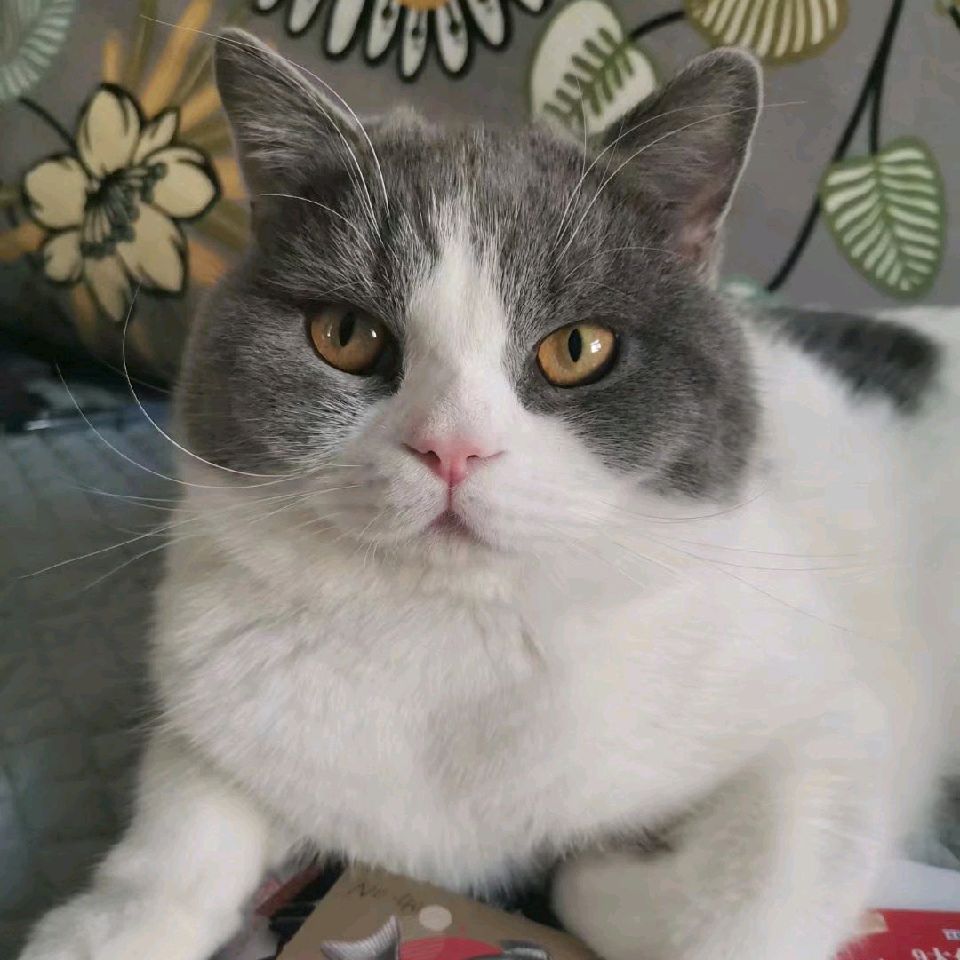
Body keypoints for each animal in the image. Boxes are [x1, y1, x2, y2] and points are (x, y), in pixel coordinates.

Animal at [19, 27, 960, 960]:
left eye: (578, 348)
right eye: (346, 334)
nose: (452, 447)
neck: (451, 640)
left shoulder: (827, 727)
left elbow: (735, 907)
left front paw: (594, 868)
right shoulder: (220, 689)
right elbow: (188, 809)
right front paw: (111, 926)